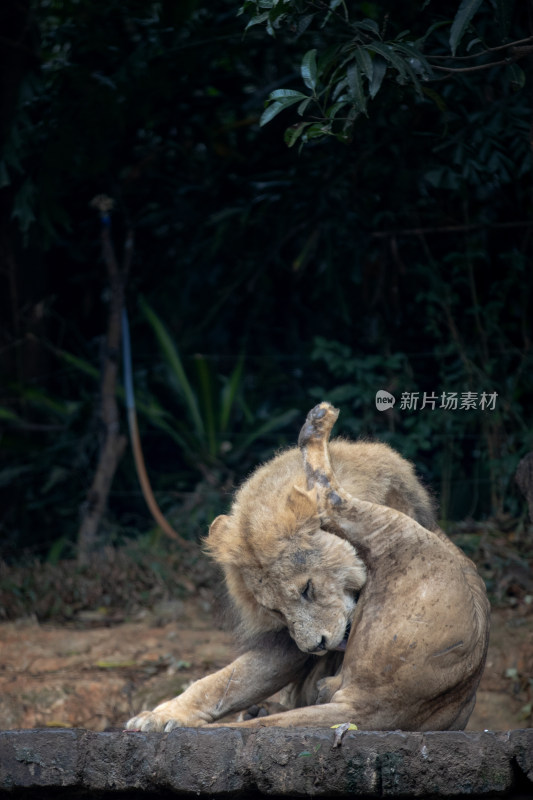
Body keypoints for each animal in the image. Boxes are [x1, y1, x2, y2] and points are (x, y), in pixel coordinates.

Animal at [127, 404, 488, 736]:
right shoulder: (287, 639)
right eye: (274, 610)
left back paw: (316, 425)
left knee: (333, 497)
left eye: (307, 589)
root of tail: (374, 708)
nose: (316, 646)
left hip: (402, 536)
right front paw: (159, 716)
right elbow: (227, 680)